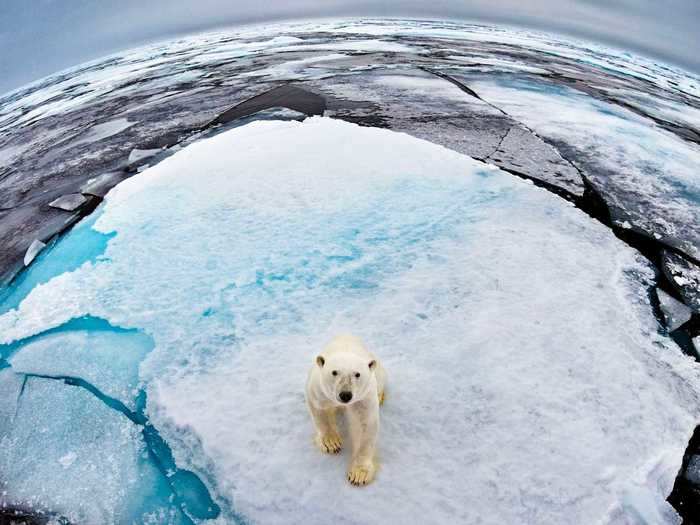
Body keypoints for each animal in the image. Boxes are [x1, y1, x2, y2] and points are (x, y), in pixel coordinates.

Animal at [304, 334, 386, 486]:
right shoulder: (319, 389)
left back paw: (381, 396)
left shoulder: (364, 396)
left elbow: (364, 424)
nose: (345, 395)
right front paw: (331, 443)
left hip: (378, 371)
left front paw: (358, 474)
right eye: (334, 372)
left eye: (357, 374)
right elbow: (320, 410)